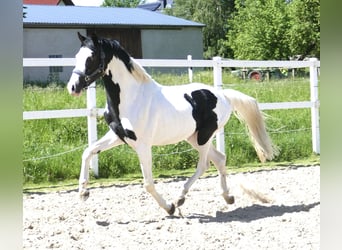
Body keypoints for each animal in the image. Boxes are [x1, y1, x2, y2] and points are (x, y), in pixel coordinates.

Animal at [67, 32, 278, 215]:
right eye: (77, 56)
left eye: (91, 57)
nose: (73, 87)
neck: (131, 98)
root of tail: (224, 95)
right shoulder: (118, 136)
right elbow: (88, 151)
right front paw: (83, 192)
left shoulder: (143, 145)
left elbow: (148, 183)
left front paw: (169, 208)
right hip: (193, 137)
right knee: (219, 158)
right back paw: (227, 197)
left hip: (204, 137)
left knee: (204, 165)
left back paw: (180, 198)